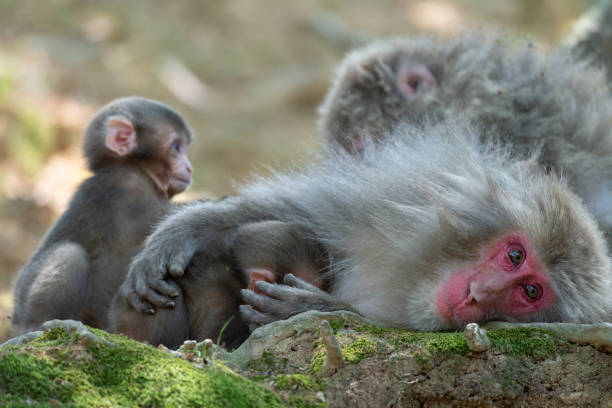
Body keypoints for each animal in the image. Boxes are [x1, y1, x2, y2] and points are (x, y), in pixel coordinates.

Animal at [12, 96, 194, 334]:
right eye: (176, 147)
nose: (189, 168)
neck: (134, 167)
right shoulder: (125, 188)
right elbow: (158, 222)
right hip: (24, 299)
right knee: (69, 255)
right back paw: (40, 325)